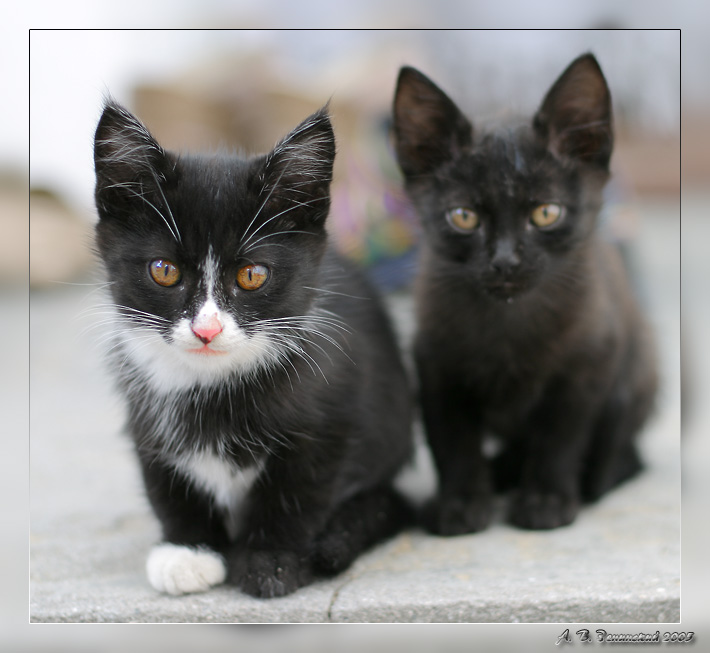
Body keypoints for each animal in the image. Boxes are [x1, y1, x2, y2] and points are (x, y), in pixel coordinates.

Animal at [95, 98, 418, 596]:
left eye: (252, 275)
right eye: (164, 271)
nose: (206, 330)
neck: (213, 385)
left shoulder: (331, 413)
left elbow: (298, 488)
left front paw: (272, 560)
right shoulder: (145, 410)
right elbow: (165, 477)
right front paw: (188, 550)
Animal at [392, 53, 660, 532]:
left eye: (546, 213)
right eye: (464, 216)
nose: (505, 261)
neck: (509, 322)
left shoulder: (589, 361)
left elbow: (561, 436)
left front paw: (546, 499)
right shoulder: (434, 362)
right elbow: (452, 439)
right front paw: (460, 501)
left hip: (638, 367)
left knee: (624, 448)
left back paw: (591, 480)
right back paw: (502, 471)